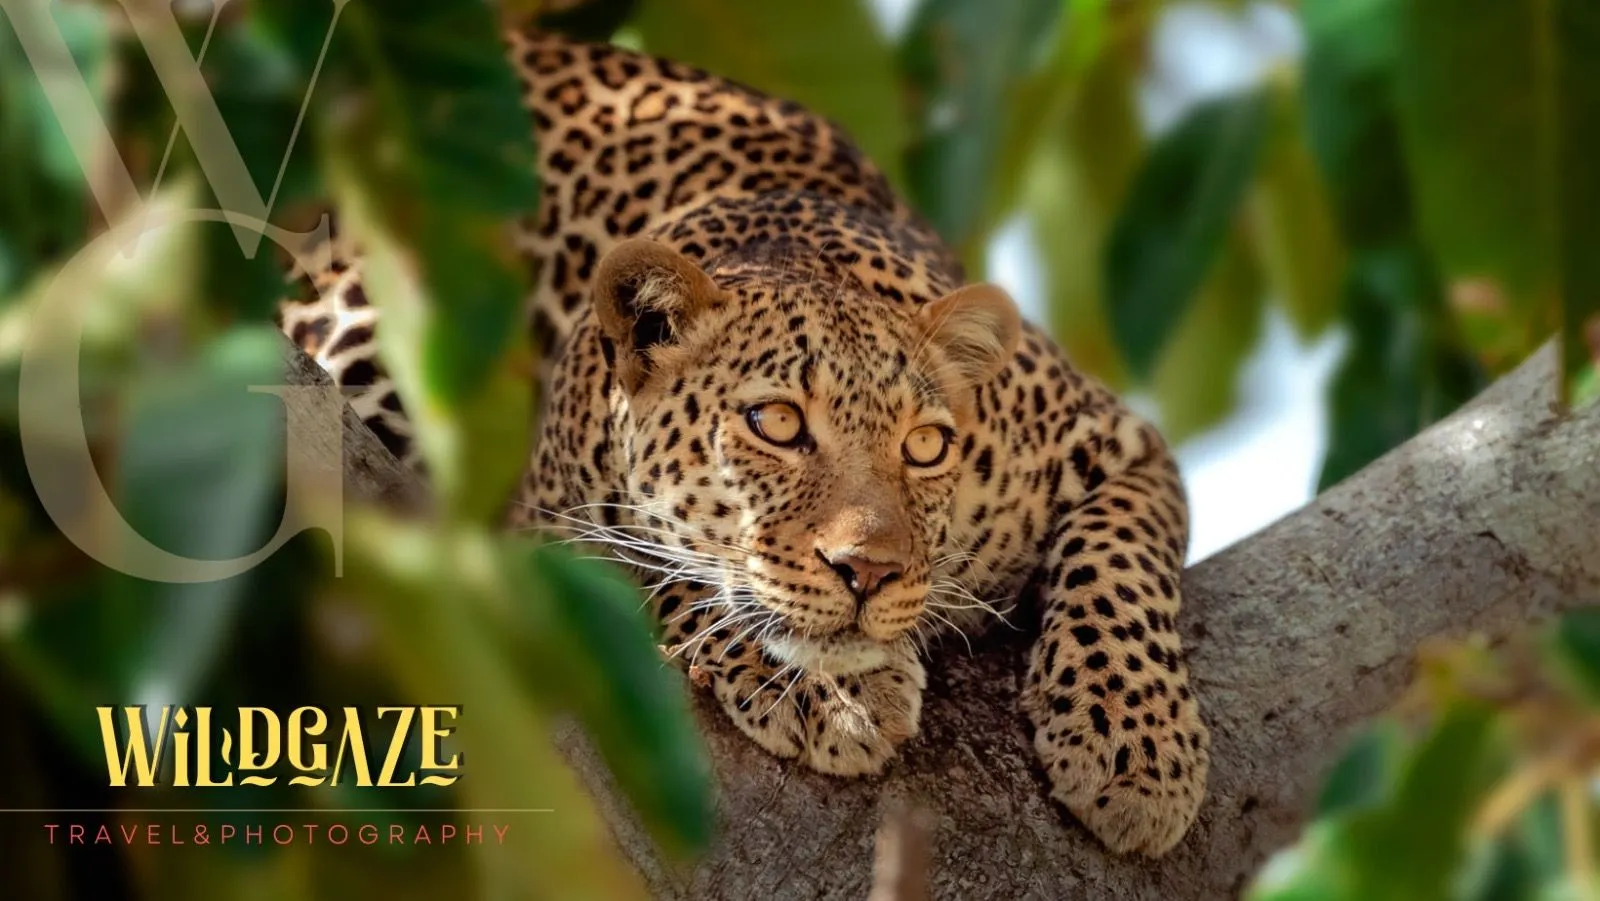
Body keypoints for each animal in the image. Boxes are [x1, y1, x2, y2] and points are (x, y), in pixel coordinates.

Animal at [277, 28, 1210, 857]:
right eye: (779, 425)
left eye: (925, 446)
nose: (870, 572)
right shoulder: (542, 529)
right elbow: (680, 572)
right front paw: (833, 691)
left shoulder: (1121, 441)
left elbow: (1117, 564)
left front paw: (1135, 746)